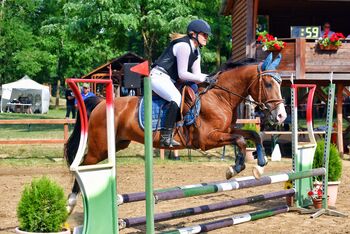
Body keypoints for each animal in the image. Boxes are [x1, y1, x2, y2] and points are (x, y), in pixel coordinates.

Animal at [64, 53, 286, 212]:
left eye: (280, 83)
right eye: (268, 84)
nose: (281, 116)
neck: (220, 96)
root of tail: (101, 102)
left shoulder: (226, 130)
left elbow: (253, 135)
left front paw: (260, 166)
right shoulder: (207, 139)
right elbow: (240, 140)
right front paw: (234, 168)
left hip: (117, 144)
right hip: (99, 147)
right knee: (82, 164)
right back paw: (71, 202)